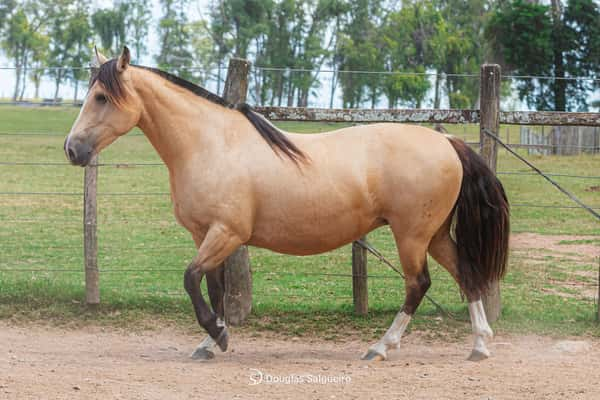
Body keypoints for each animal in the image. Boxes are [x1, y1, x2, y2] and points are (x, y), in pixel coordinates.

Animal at [64, 47, 506, 362]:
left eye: (101, 97)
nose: (72, 149)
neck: (211, 144)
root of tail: (447, 141)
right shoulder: (206, 235)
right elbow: (214, 286)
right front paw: (211, 342)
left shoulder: (226, 234)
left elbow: (191, 280)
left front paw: (217, 334)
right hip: (434, 235)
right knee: (466, 274)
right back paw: (480, 345)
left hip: (411, 236)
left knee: (419, 285)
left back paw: (380, 347)